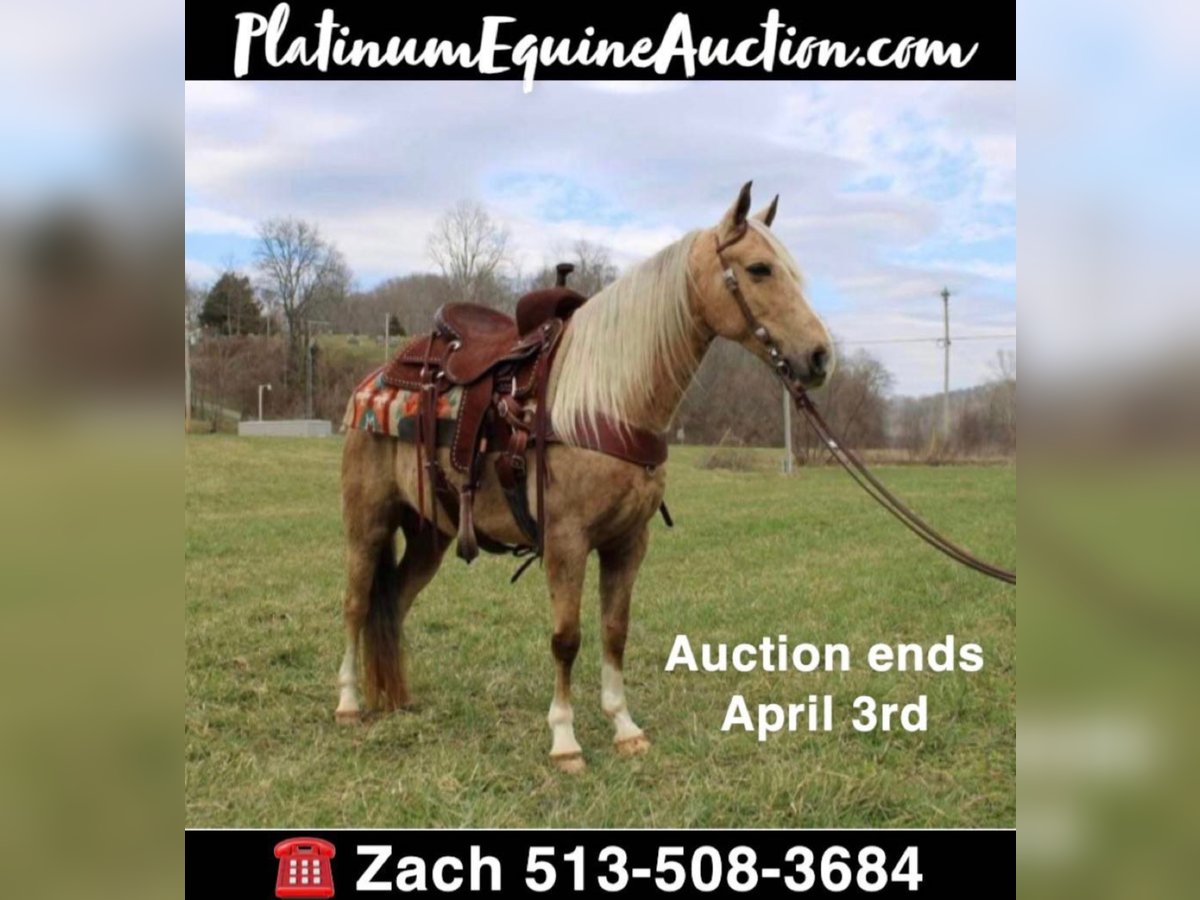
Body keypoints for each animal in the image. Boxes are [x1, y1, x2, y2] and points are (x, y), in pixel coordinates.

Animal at [333, 184, 830, 777]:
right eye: (758, 269)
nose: (820, 356)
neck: (609, 399)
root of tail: (376, 380)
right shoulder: (567, 542)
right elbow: (566, 638)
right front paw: (565, 740)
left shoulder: (627, 542)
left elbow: (614, 632)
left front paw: (624, 727)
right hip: (367, 523)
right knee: (356, 604)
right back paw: (349, 703)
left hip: (431, 534)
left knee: (394, 603)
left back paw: (397, 698)